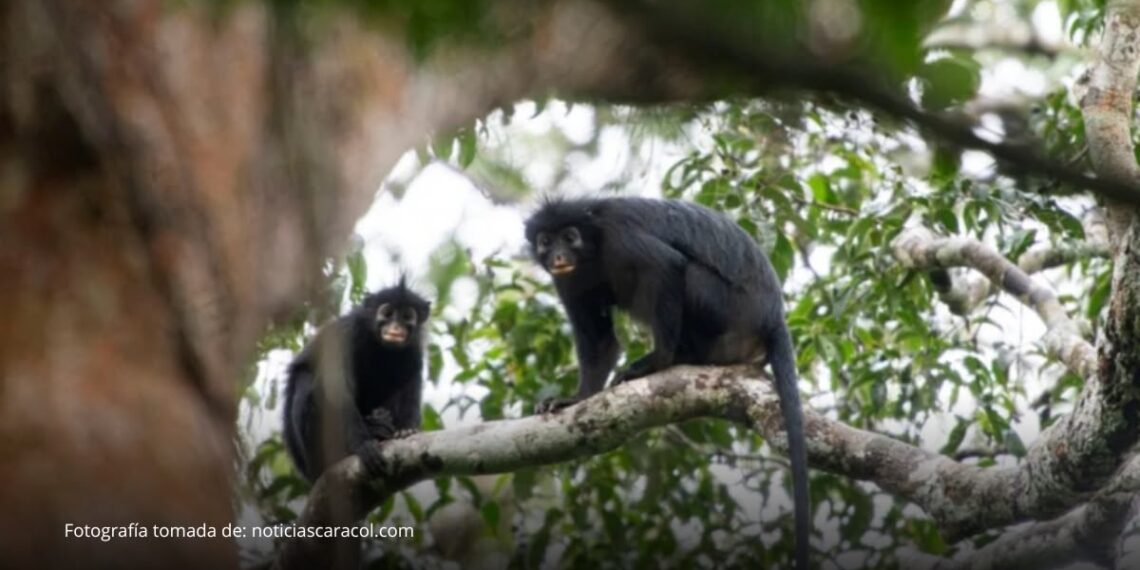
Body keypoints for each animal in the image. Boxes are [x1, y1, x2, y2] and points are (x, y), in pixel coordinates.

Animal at [282, 278, 431, 483]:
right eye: (387, 313)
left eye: (407, 316)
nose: (395, 328)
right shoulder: (347, 335)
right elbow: (337, 389)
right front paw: (362, 444)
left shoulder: (413, 350)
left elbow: (410, 385)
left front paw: (406, 429)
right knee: (305, 379)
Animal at [524, 196, 810, 570]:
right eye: (546, 241)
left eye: (569, 236)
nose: (558, 255)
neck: (593, 247)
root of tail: (773, 316)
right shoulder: (569, 281)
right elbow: (600, 343)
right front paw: (576, 399)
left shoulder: (619, 235)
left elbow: (667, 266)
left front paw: (658, 360)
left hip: (727, 310)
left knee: (687, 273)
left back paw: (677, 356)